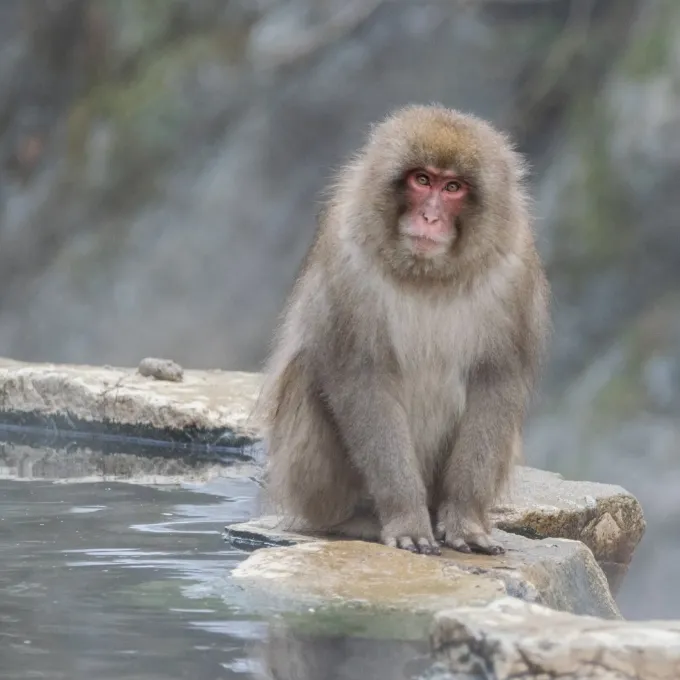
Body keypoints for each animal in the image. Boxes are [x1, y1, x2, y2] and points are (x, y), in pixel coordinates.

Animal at [257, 104, 550, 556]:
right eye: (422, 179)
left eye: (453, 187)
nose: (429, 217)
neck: (429, 275)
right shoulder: (347, 258)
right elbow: (363, 379)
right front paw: (406, 516)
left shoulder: (515, 268)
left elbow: (497, 380)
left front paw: (465, 519)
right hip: (303, 484)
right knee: (308, 371)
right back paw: (355, 520)